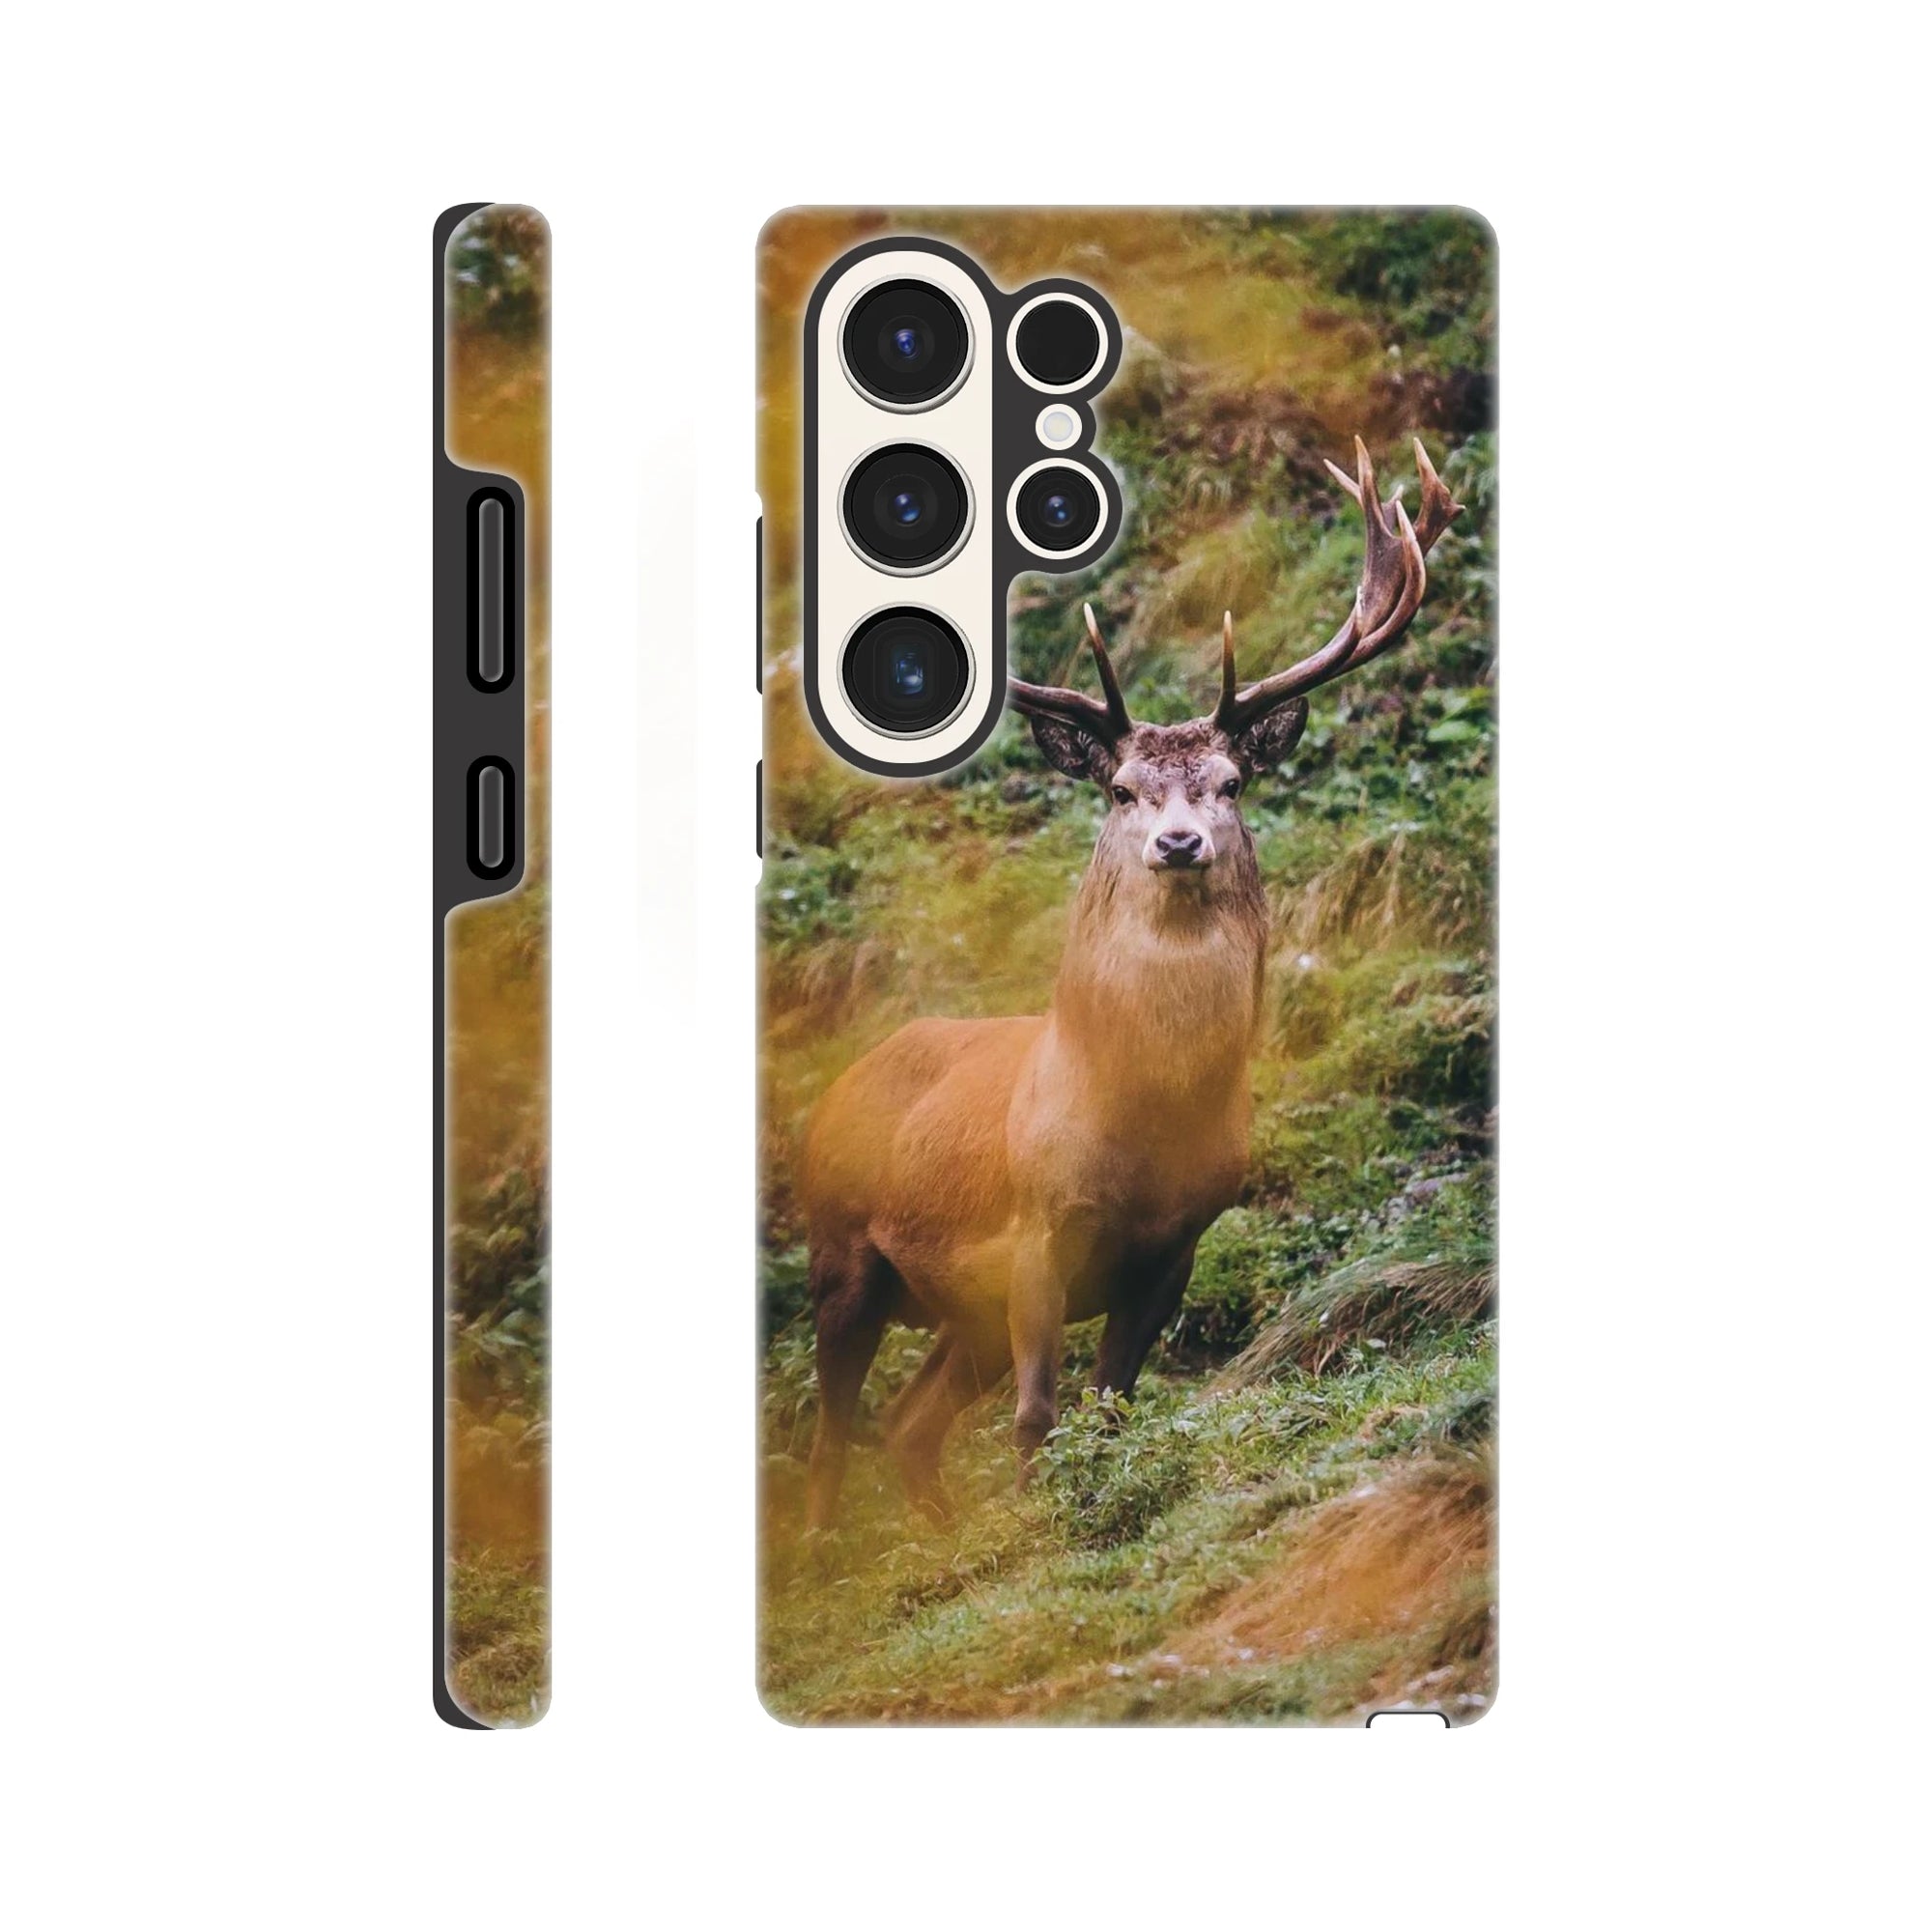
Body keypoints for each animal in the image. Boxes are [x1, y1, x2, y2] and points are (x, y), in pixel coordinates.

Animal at [798, 438, 1462, 1530]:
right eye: (1119, 790)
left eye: (1230, 781)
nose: (1179, 840)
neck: (1140, 1123)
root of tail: (837, 1084)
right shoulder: (1037, 1223)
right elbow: (1038, 1414)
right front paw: (1036, 1533)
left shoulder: (1175, 1246)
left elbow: (1108, 1406)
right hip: (842, 1245)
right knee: (829, 1427)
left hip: (955, 1313)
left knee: (905, 1420)